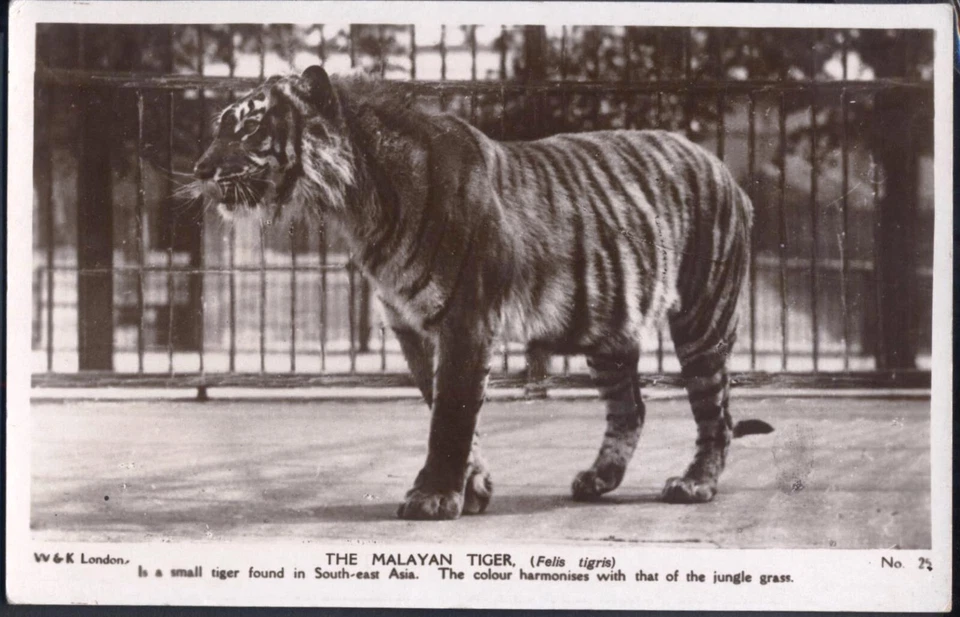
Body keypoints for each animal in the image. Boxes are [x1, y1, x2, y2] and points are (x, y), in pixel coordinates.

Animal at [193, 65, 773, 520]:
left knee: (715, 411)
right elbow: (445, 407)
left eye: (249, 125)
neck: (358, 203)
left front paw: (432, 498)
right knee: (630, 407)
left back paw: (694, 485)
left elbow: (451, 413)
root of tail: (723, 168)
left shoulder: (465, 318)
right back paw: (597, 480)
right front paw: (473, 490)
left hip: (703, 318)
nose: (200, 168)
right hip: (608, 331)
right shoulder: (411, 326)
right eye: (220, 125)